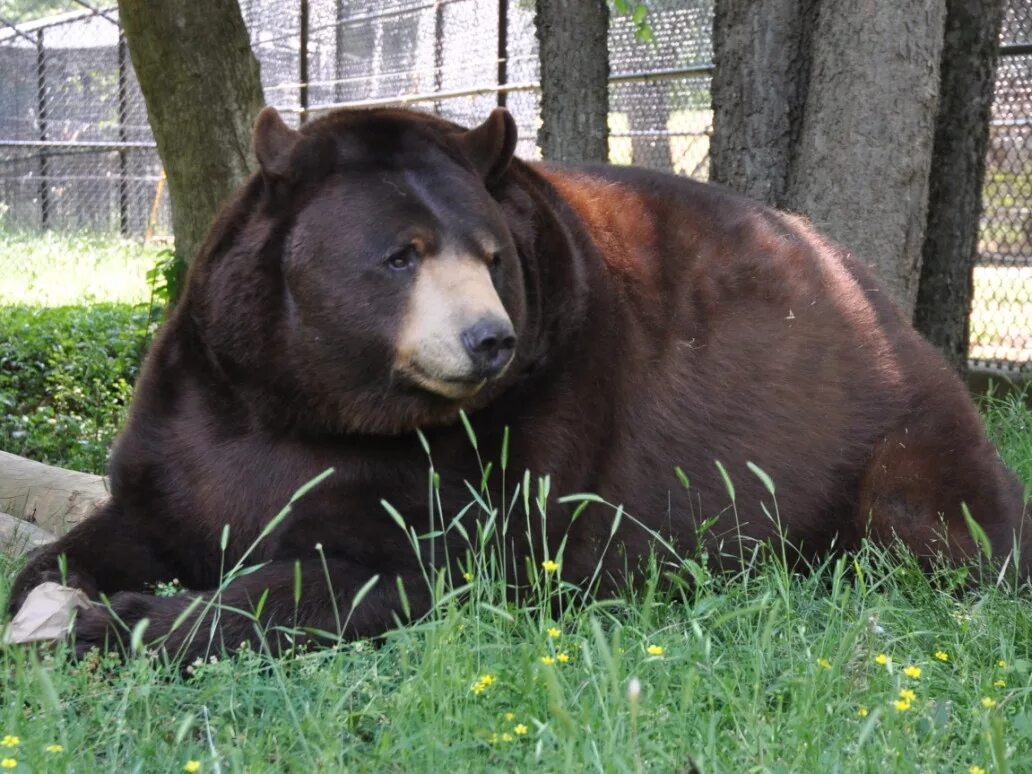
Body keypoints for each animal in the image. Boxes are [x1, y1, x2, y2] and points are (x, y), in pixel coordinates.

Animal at [6, 101, 1023, 660]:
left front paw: (127, 621)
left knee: (943, 524)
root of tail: (880, 301)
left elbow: (399, 568)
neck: (318, 398)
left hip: (889, 443)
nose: (489, 340)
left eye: (491, 256)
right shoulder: (203, 400)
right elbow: (139, 515)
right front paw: (50, 590)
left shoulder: (508, 442)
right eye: (401, 254)